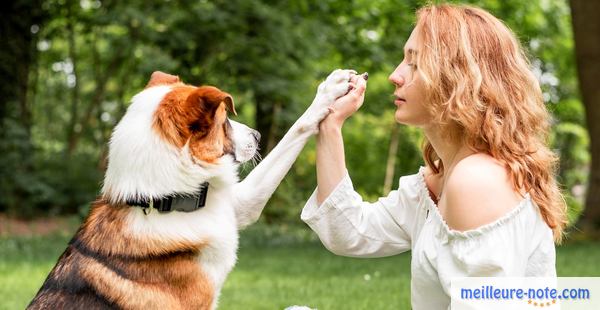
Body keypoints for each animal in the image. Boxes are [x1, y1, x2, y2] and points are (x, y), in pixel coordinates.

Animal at [28, 69, 354, 308]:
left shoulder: (239, 204)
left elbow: (295, 131)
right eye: (224, 122)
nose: (258, 135)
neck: (164, 202)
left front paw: (331, 91)